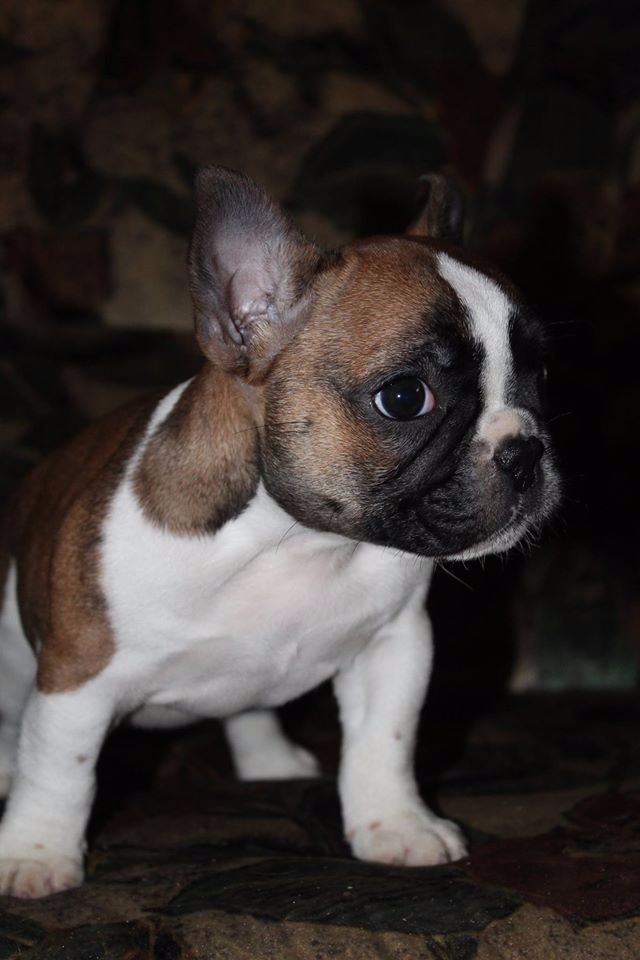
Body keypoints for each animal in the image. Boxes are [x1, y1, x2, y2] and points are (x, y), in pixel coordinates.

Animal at [0, 167, 560, 898]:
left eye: (542, 375)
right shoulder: (77, 677)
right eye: (405, 398)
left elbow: (385, 742)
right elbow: (58, 769)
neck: (296, 542)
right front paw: (35, 853)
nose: (525, 451)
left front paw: (396, 825)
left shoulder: (393, 648)